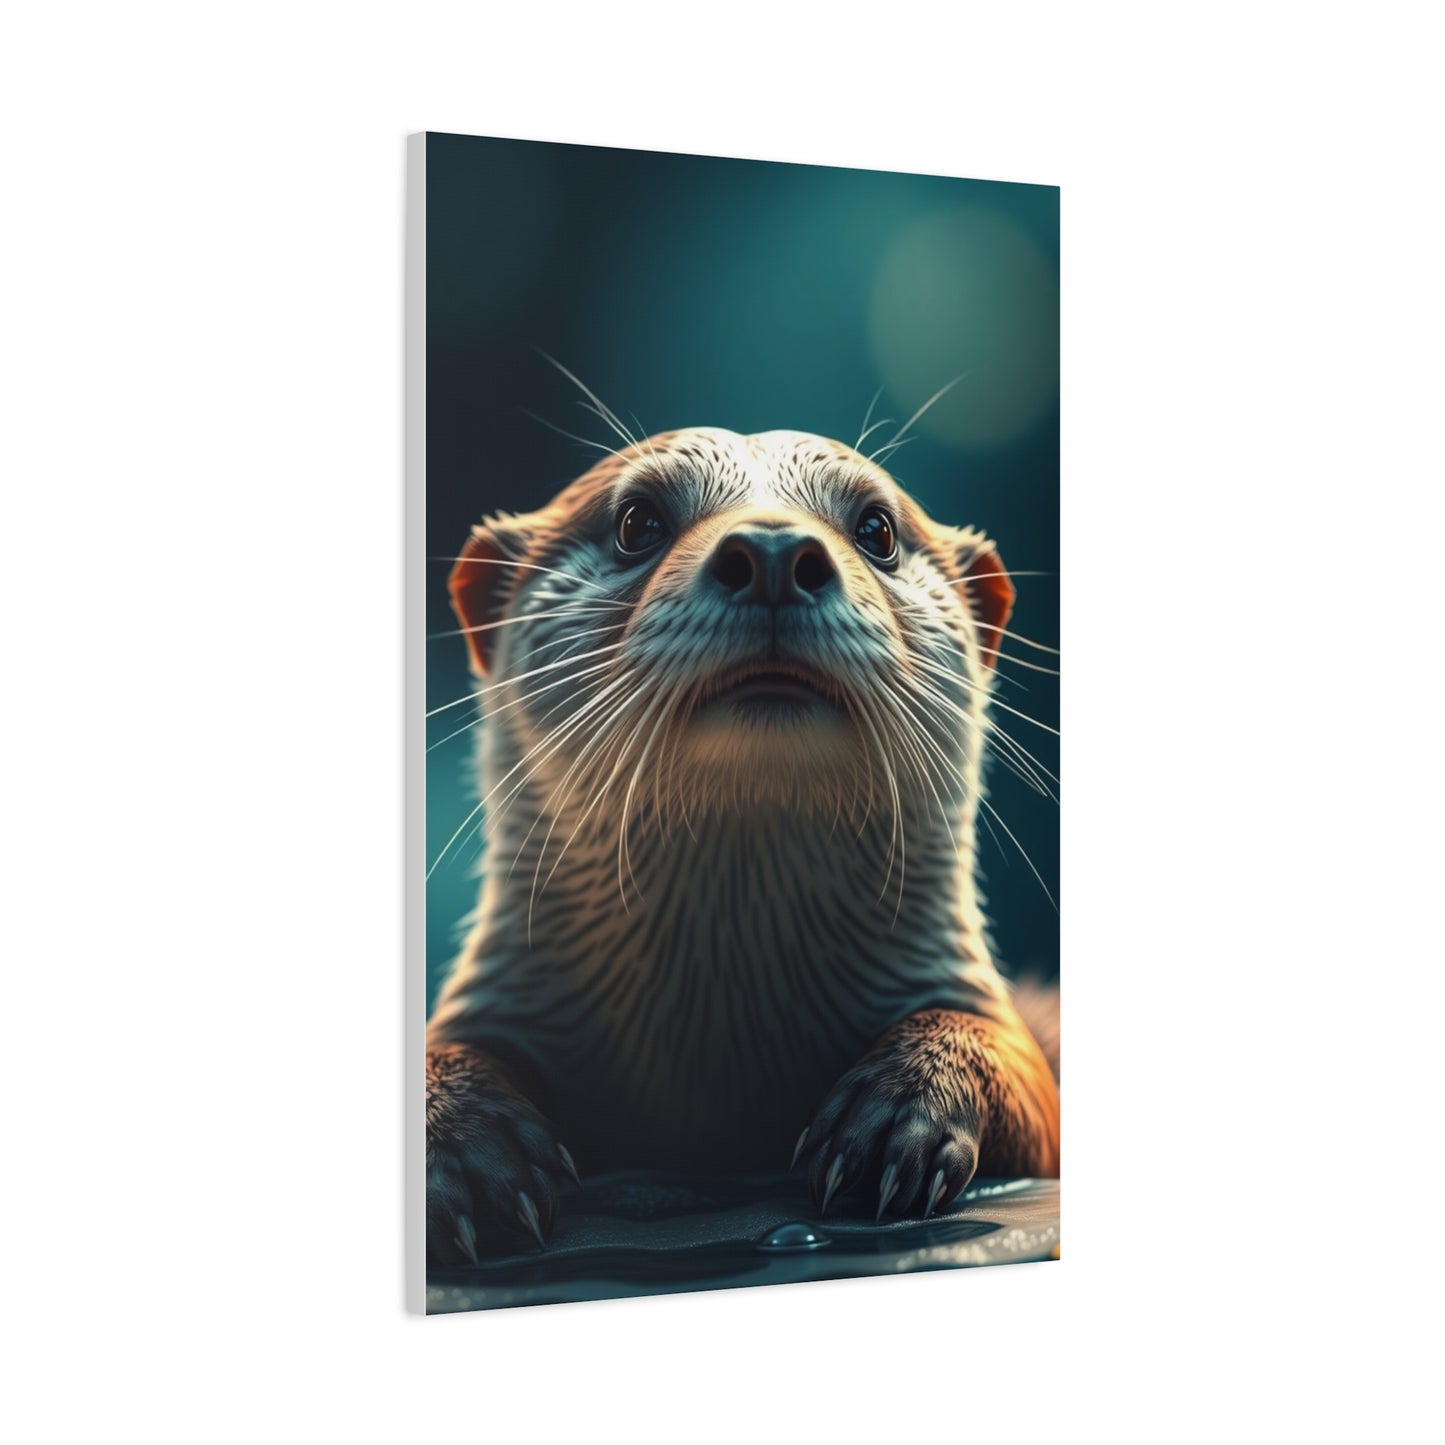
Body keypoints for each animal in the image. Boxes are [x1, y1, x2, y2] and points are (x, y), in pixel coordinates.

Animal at [426, 425, 1059, 1263]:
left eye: (877, 529)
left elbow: (1018, 1063)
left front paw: (902, 1111)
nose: (772, 550)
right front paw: (464, 1145)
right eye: (637, 522)